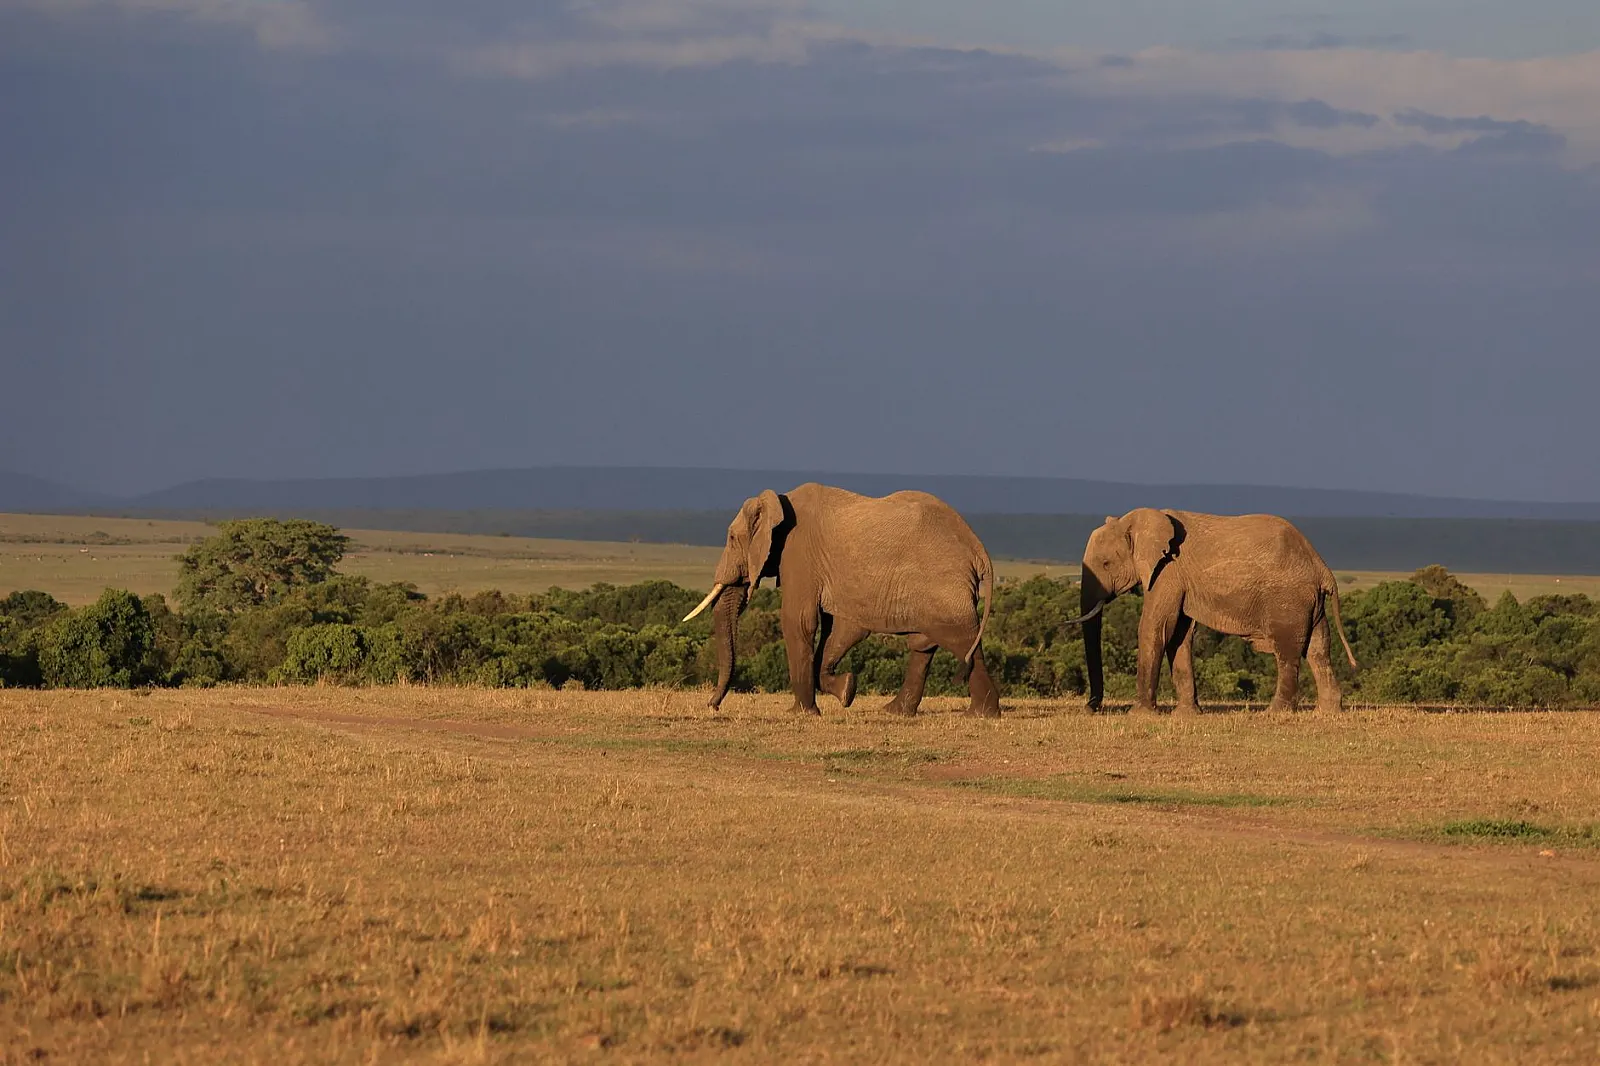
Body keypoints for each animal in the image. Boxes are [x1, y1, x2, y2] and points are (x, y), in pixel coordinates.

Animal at [681, 483, 1000, 717]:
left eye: (732, 539)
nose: (712, 705)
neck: (778, 502)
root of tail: (978, 548)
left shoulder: (798, 553)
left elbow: (798, 621)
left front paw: (801, 713)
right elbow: (841, 629)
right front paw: (847, 690)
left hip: (942, 582)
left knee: (959, 638)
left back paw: (981, 714)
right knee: (924, 644)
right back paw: (894, 712)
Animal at [1075, 509, 1357, 715]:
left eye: (1106, 564)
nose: (1091, 708)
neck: (1134, 521)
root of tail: (1322, 567)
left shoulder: (1168, 572)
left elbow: (1155, 627)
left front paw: (1140, 715)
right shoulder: (1179, 580)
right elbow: (1180, 636)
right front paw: (1187, 715)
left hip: (1288, 599)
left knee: (1288, 652)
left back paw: (1274, 713)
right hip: (1309, 602)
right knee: (1318, 648)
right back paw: (1327, 712)